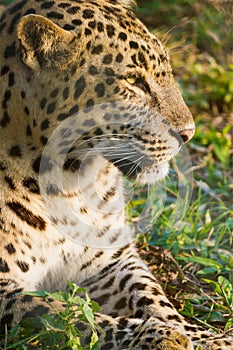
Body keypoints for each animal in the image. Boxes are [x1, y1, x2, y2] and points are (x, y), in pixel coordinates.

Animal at [0, 0, 233, 348]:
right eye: (133, 81)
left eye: (166, 70)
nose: (188, 134)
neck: (69, 183)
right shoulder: (4, 288)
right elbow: (65, 316)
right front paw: (161, 337)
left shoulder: (110, 261)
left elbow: (151, 294)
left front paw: (201, 335)